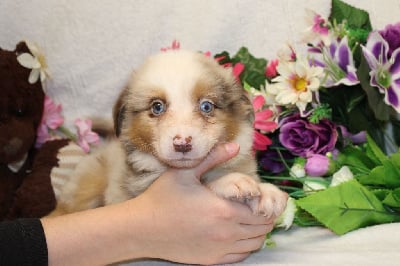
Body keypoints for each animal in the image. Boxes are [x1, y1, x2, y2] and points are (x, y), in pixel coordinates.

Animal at [50, 50, 288, 218]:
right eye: (157, 107)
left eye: (206, 106)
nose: (182, 143)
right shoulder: (141, 186)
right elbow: (209, 180)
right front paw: (231, 181)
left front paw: (267, 193)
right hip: (87, 185)